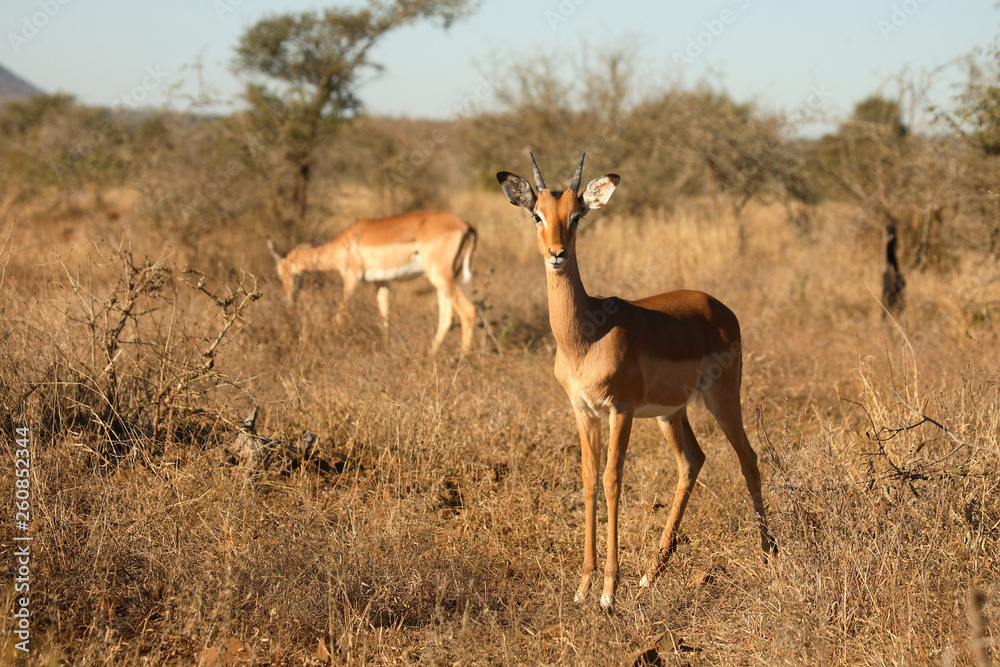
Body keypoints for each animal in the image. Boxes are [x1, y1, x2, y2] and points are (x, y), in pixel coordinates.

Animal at [267, 210, 477, 357]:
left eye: (283, 272)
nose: (289, 299)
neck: (345, 242)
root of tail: (466, 225)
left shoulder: (351, 277)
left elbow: (341, 312)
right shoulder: (381, 282)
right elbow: (385, 316)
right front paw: (385, 351)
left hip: (440, 276)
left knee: (468, 311)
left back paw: (461, 360)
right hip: (442, 281)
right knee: (447, 317)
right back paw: (429, 356)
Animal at [496, 154, 775, 610]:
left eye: (576, 216)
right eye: (537, 214)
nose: (556, 254)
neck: (586, 336)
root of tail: (720, 307)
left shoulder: (620, 410)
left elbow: (612, 479)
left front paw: (609, 591)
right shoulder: (583, 411)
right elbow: (589, 478)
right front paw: (583, 587)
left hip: (721, 398)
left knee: (748, 458)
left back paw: (769, 556)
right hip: (671, 414)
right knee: (692, 461)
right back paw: (650, 573)